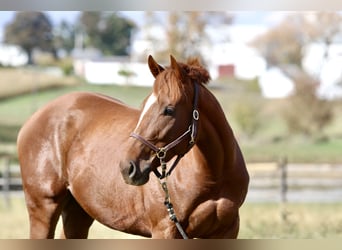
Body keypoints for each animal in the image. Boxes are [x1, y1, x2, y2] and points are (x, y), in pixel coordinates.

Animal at [17, 55, 248, 238]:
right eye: (143, 105)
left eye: (169, 110)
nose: (128, 167)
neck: (213, 176)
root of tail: (32, 120)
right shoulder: (165, 230)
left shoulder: (227, 232)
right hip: (43, 208)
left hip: (78, 212)